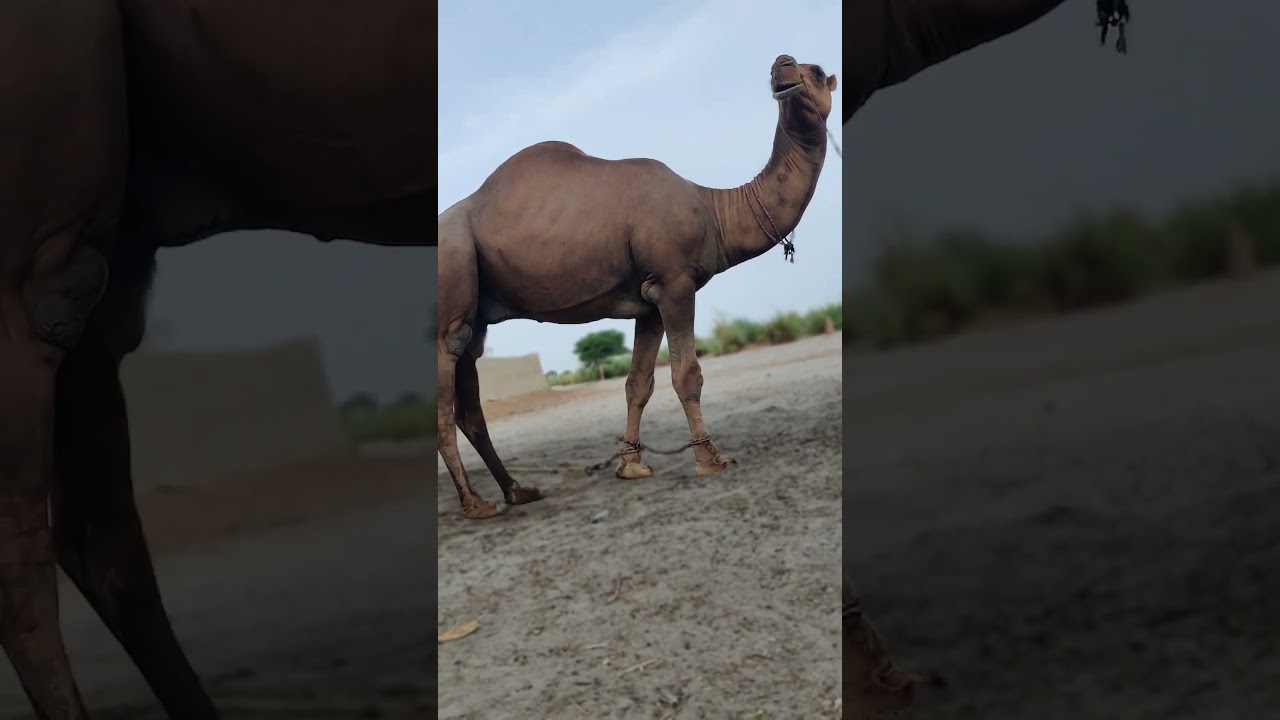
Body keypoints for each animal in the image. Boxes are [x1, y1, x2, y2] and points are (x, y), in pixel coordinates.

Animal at [436, 54, 837, 518]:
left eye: (814, 70)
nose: (782, 65)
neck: (715, 210)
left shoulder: (650, 301)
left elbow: (637, 384)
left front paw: (630, 466)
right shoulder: (676, 282)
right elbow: (687, 374)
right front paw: (710, 459)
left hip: (476, 313)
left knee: (470, 402)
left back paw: (517, 490)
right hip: (452, 278)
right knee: (446, 394)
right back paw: (475, 503)